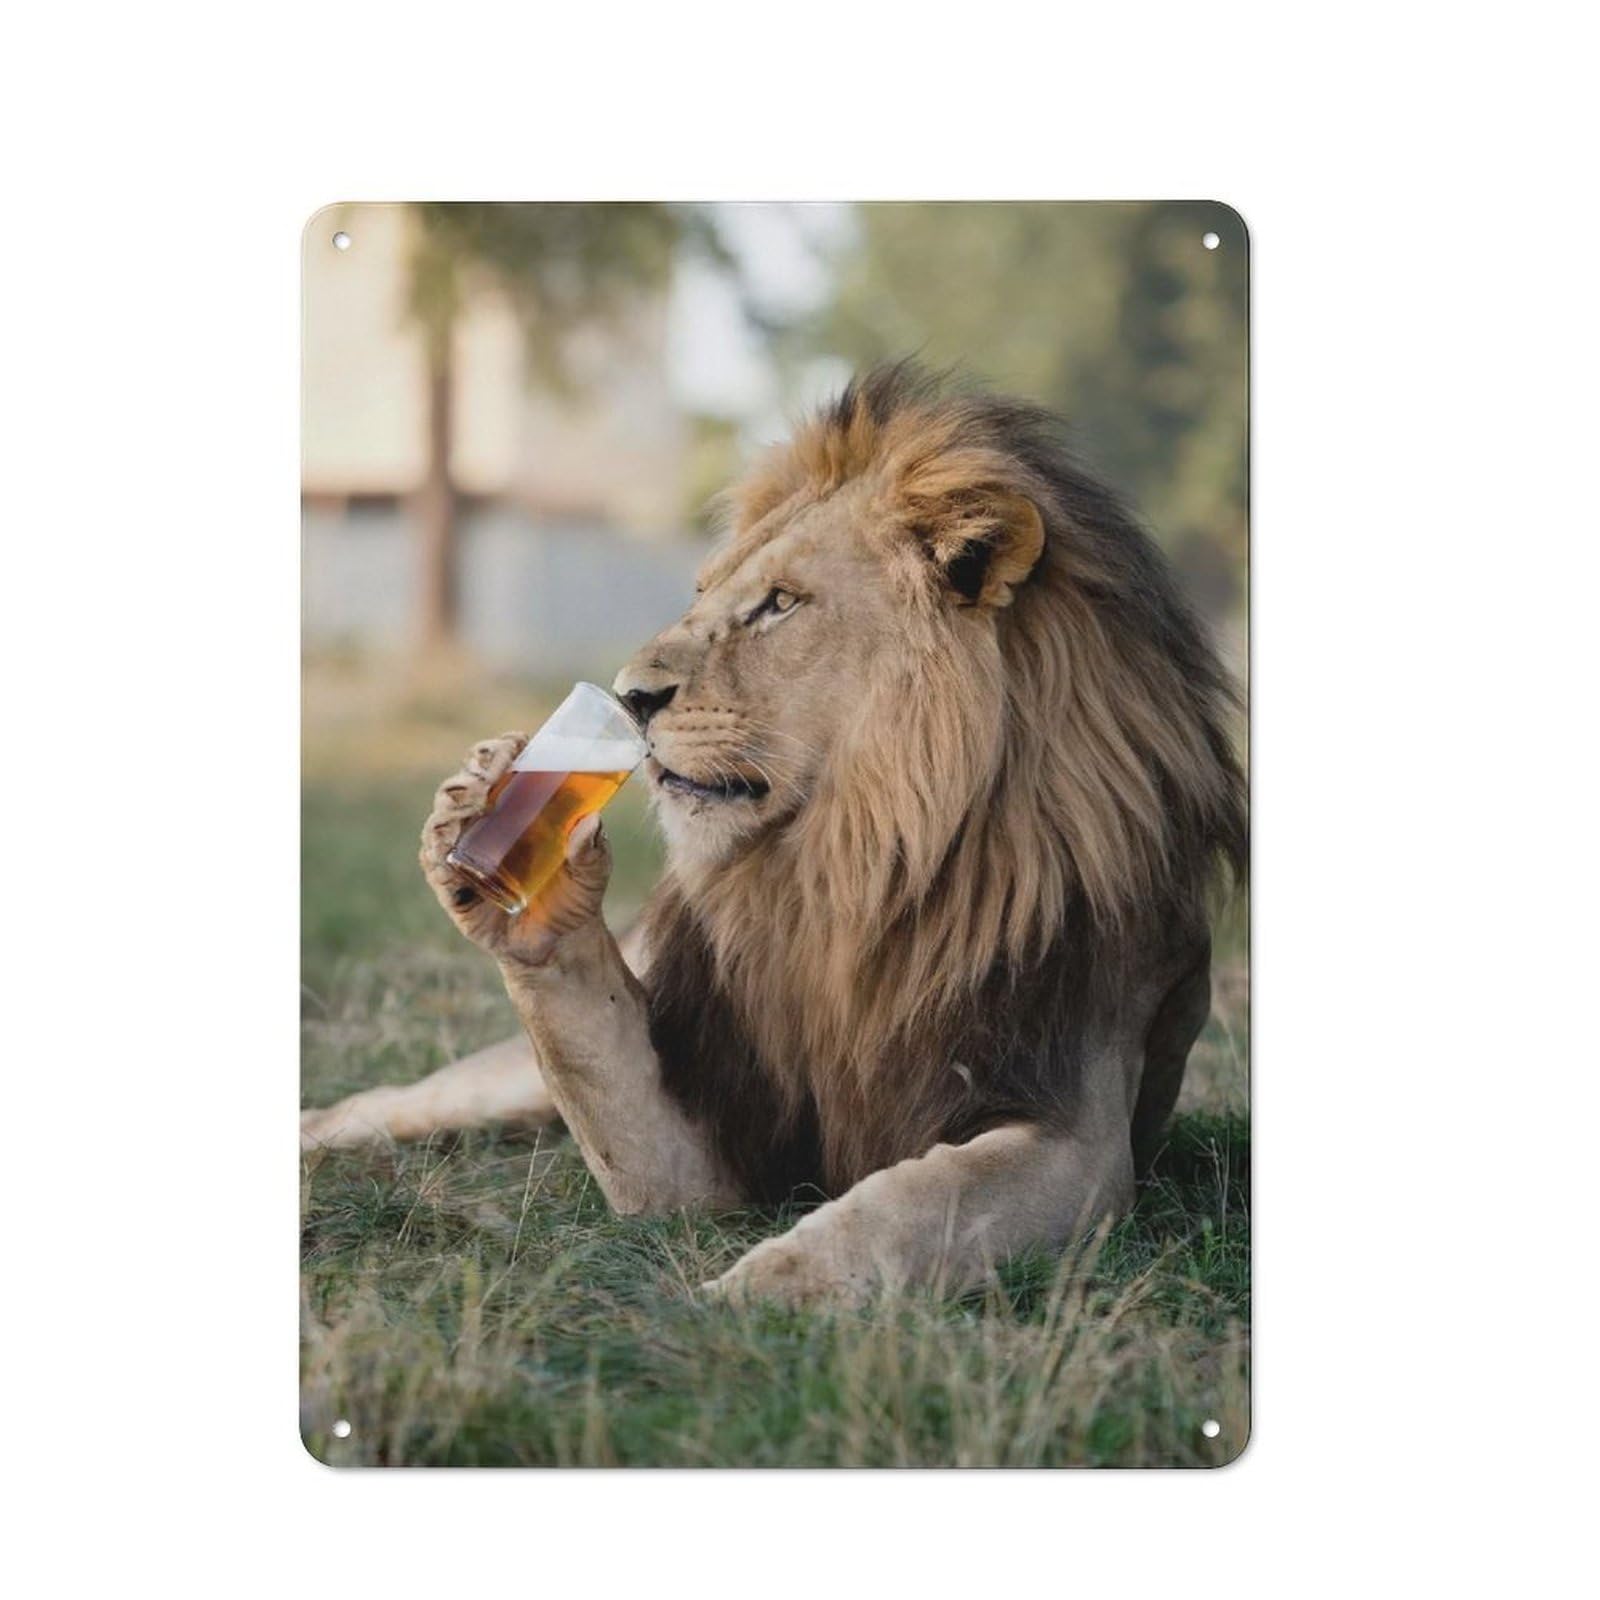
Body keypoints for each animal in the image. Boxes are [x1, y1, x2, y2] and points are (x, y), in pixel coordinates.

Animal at [302, 363, 1247, 1304]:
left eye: (780, 604)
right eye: (703, 592)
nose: (628, 696)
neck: (852, 866)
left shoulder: (1078, 1134)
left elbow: (909, 1206)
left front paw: (734, 1299)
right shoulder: (717, 1140)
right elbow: (594, 1065)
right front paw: (488, 839)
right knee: (396, 1101)